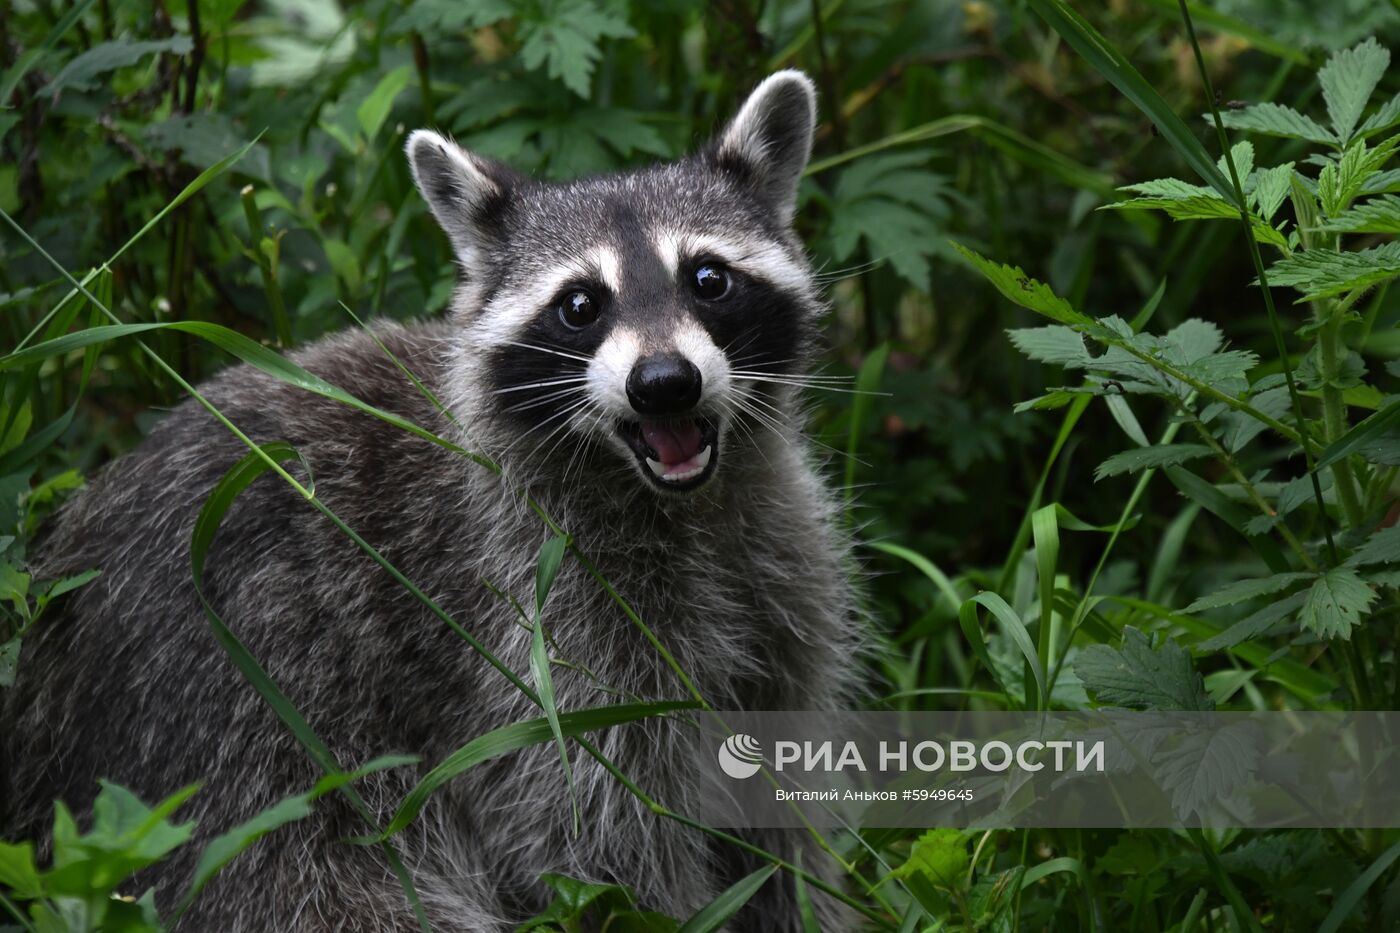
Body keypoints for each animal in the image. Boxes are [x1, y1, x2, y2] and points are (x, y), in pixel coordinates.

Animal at [2, 72, 862, 930]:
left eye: (709, 279)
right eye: (580, 305)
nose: (664, 384)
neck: (682, 502)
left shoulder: (783, 572)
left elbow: (781, 796)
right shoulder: (533, 618)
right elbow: (597, 830)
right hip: (227, 740)